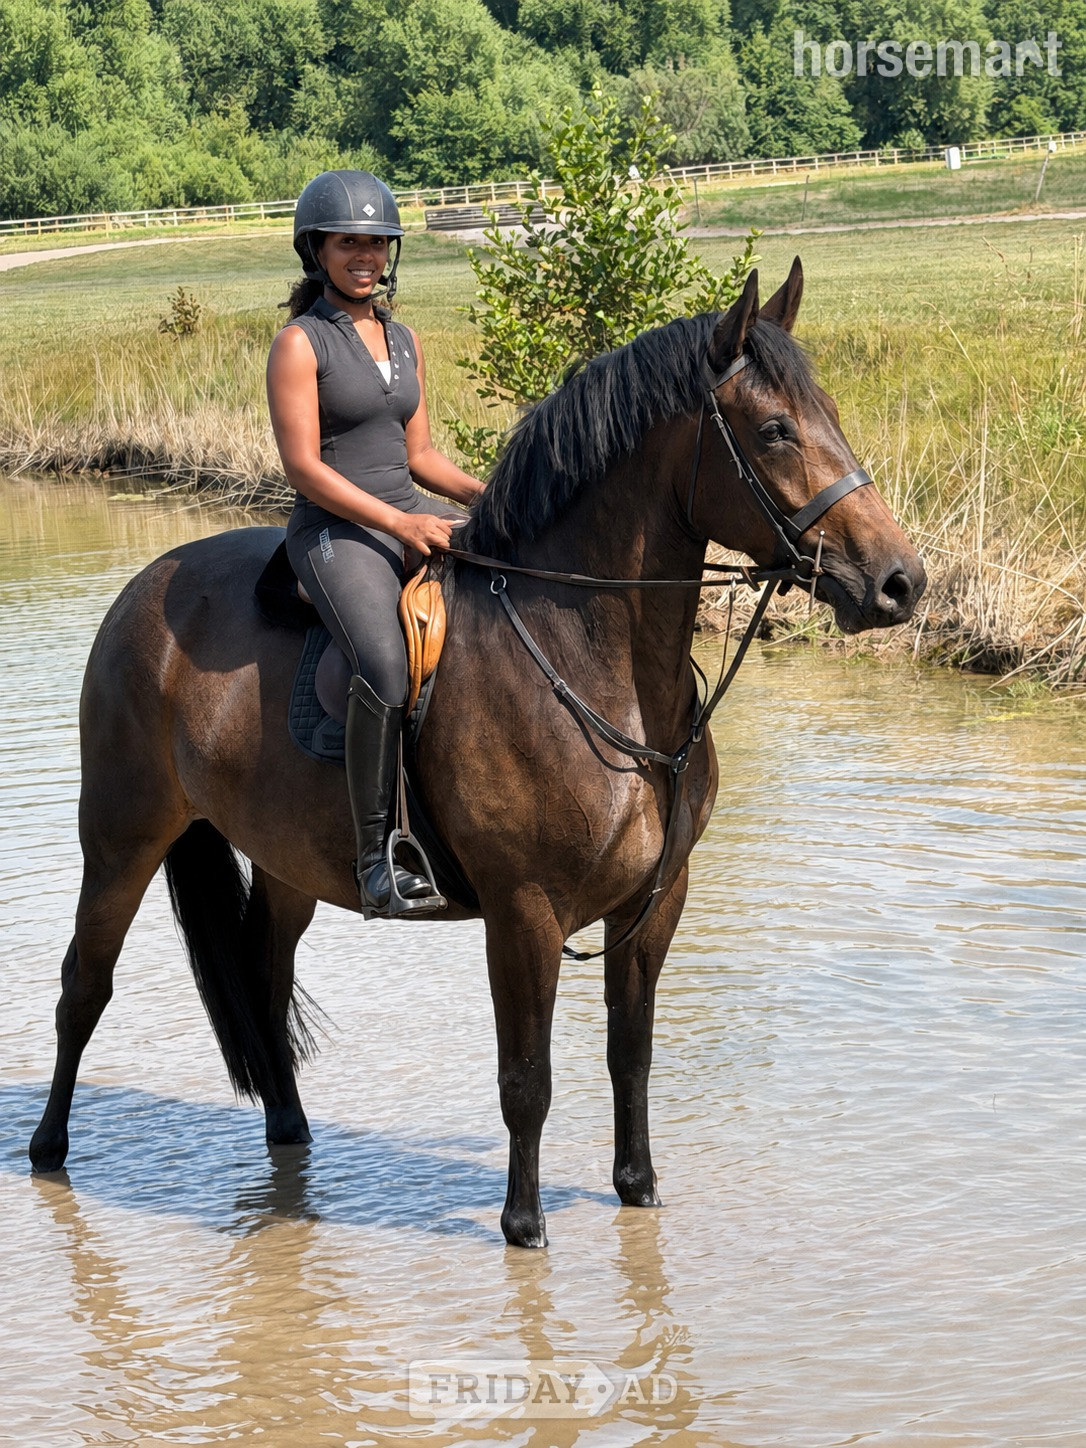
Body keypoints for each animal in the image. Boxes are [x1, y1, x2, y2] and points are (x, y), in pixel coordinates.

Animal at [30, 262, 925, 1247]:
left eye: (829, 411)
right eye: (773, 431)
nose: (900, 583)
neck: (587, 656)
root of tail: (141, 591)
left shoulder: (655, 903)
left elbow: (631, 1057)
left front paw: (638, 1187)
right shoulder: (522, 911)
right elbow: (526, 1080)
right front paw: (524, 1227)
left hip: (287, 862)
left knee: (264, 982)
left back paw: (291, 1137)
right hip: (123, 837)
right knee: (84, 986)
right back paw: (48, 1150)